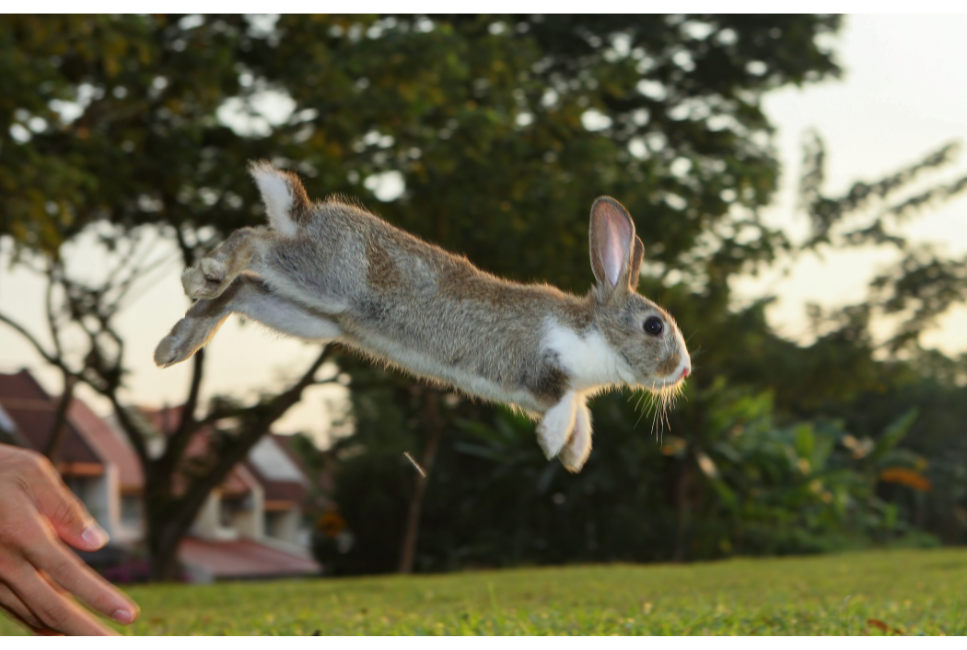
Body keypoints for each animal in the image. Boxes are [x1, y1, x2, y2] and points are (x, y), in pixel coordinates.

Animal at [154, 162, 691, 473]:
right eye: (654, 326)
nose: (684, 370)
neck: (595, 331)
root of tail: (306, 216)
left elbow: (582, 410)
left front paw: (575, 456)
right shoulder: (541, 365)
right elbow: (565, 403)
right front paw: (552, 441)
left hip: (313, 314)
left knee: (241, 293)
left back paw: (176, 342)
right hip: (325, 279)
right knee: (253, 242)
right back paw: (203, 274)